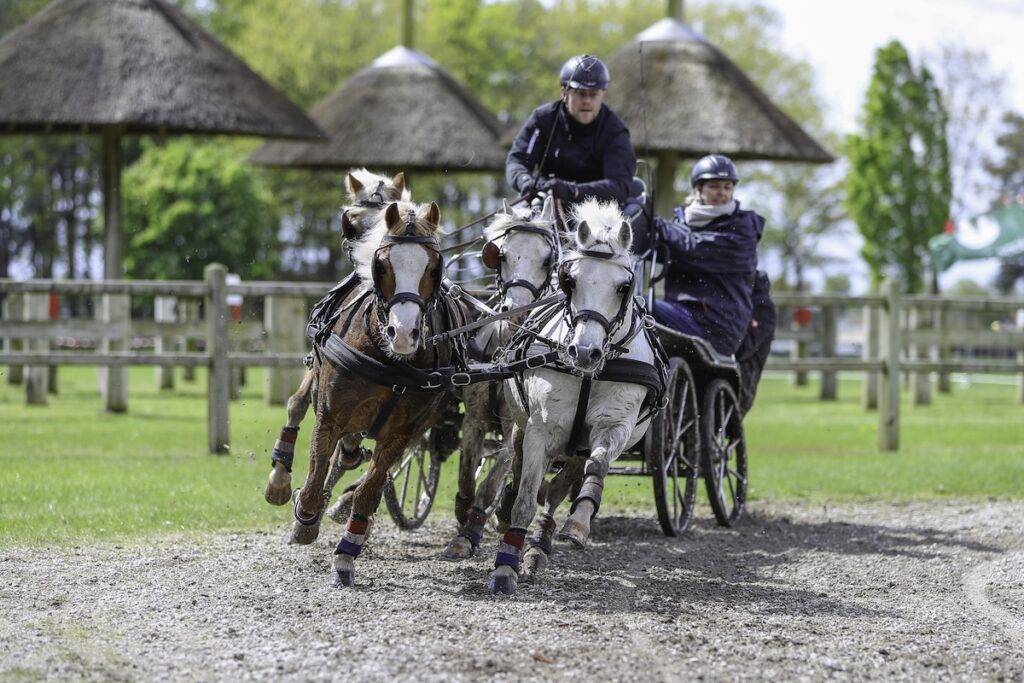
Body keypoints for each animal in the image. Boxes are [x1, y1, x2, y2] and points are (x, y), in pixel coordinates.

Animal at [287, 200, 468, 587]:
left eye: (435, 268)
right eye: (382, 265)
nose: (404, 334)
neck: (389, 360)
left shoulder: (401, 432)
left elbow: (370, 490)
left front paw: (346, 554)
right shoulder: (330, 415)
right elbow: (314, 478)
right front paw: (305, 519)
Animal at [440, 196, 560, 559]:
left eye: (548, 259)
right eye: (501, 255)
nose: (515, 314)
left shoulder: (516, 424)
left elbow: (495, 474)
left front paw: (477, 525)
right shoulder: (475, 418)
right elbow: (467, 474)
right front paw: (463, 517)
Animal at [487, 198, 657, 595]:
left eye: (624, 286)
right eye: (571, 280)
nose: (585, 352)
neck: (590, 375)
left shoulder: (614, 427)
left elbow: (595, 471)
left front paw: (578, 524)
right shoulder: (540, 429)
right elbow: (524, 497)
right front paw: (505, 565)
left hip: (578, 443)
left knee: (562, 486)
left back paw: (540, 545)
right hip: (521, 422)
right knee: (520, 468)